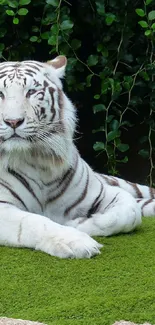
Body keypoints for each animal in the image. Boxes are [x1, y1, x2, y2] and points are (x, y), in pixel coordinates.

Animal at [0, 56, 154, 258]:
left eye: (31, 92)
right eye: (0, 94)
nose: (13, 121)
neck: (39, 160)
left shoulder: (101, 192)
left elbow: (130, 213)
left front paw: (78, 223)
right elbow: (34, 222)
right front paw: (75, 241)